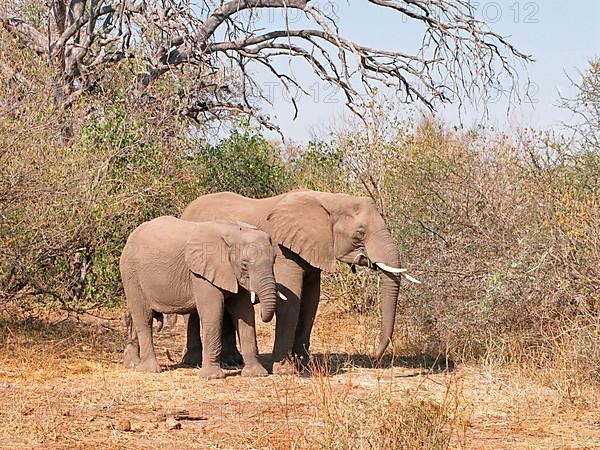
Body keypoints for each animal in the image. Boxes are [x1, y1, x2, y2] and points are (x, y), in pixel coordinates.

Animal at [120, 216, 278, 378]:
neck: (233, 232)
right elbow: (212, 312)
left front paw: (256, 374)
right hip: (131, 274)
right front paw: (212, 377)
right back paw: (148, 369)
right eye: (244, 265)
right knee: (143, 317)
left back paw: (134, 365)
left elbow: (245, 313)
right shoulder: (202, 273)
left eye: (274, 260)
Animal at [180, 188, 420, 374]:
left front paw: (305, 367)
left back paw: (232, 361)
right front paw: (285, 370)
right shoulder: (284, 251)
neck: (329, 200)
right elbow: (292, 302)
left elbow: (310, 304)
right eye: (359, 234)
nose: (374, 357)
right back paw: (194, 362)